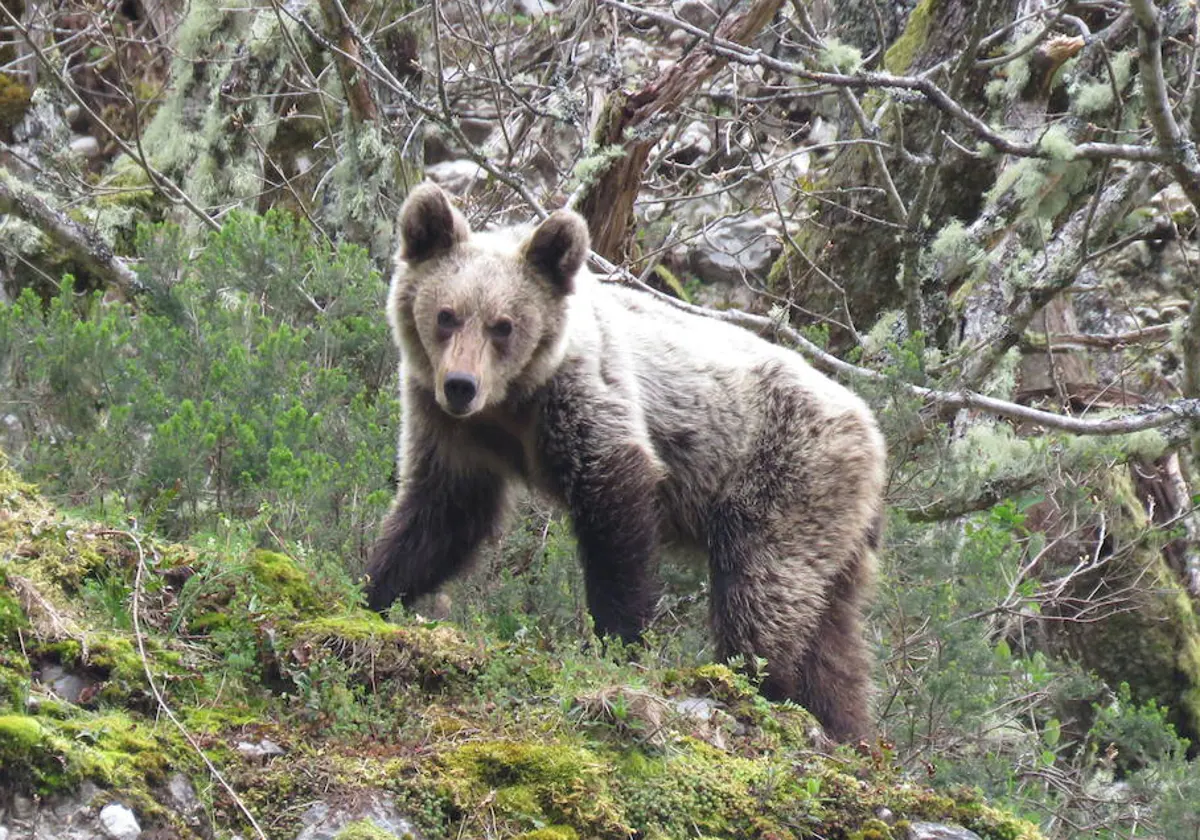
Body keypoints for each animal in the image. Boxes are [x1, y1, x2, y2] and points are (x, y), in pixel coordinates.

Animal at [360, 183, 888, 739]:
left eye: (503, 325)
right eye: (446, 314)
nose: (461, 385)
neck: (514, 401)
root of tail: (871, 432)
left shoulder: (586, 400)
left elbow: (616, 511)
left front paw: (619, 639)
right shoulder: (453, 430)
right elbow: (442, 514)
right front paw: (374, 588)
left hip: (786, 481)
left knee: (762, 594)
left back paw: (756, 685)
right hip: (837, 533)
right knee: (833, 640)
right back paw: (846, 727)